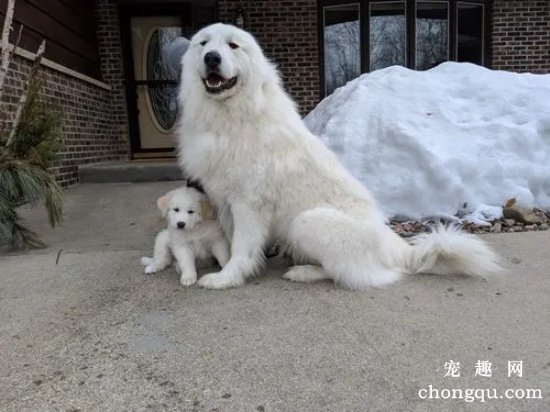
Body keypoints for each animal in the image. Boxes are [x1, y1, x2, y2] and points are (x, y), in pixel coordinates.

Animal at [177, 23, 504, 290]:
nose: (212, 58)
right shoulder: (226, 201)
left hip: (306, 221)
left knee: (352, 273)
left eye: (233, 45)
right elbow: (231, 242)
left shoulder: (248, 203)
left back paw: (304, 272)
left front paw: (226, 278)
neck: (232, 115)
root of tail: (394, 246)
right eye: (204, 43)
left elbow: (242, 248)